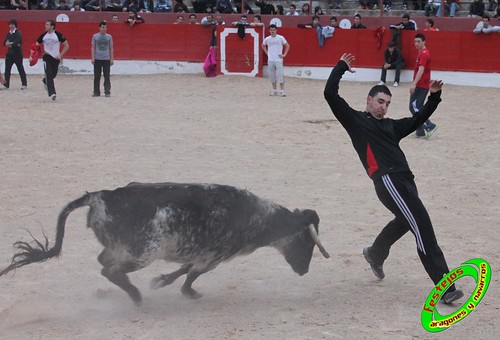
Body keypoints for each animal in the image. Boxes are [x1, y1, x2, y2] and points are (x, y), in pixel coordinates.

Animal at [1, 183, 330, 306]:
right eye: (307, 242)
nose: (304, 271)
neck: (255, 217)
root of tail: (99, 196)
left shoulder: (202, 254)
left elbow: (183, 269)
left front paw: (161, 282)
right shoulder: (212, 257)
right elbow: (190, 274)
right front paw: (187, 292)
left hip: (122, 248)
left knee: (103, 263)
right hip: (143, 253)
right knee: (110, 270)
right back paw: (136, 297)